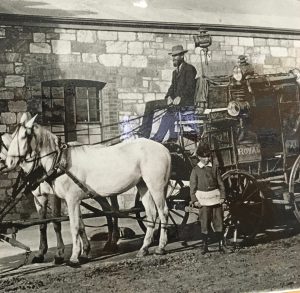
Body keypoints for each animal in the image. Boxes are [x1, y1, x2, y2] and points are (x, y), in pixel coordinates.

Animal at [5, 113, 171, 266]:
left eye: (24, 136)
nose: (9, 162)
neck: (61, 161)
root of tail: (164, 149)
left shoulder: (71, 199)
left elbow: (74, 226)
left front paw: (73, 257)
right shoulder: (75, 200)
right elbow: (80, 226)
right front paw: (83, 253)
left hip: (155, 185)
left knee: (163, 212)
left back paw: (160, 247)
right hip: (143, 185)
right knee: (151, 213)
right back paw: (144, 248)